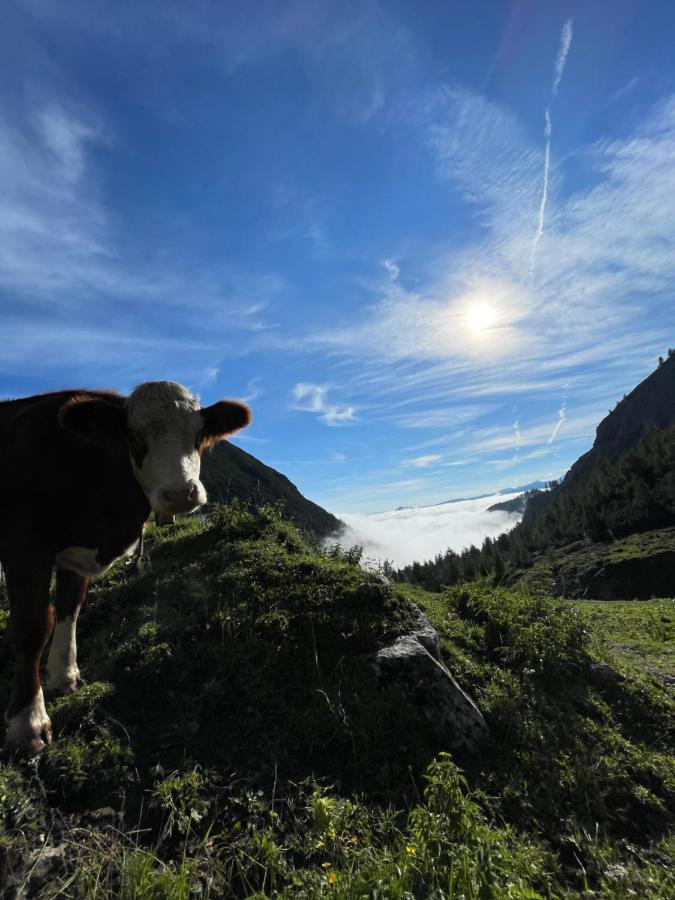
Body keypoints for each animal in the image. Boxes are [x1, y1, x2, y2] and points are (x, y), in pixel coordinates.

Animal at [0, 380, 251, 752]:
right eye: (134, 436)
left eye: (198, 435)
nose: (181, 494)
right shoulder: (23, 550)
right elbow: (32, 628)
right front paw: (28, 722)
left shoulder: (76, 556)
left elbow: (69, 608)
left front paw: (65, 675)